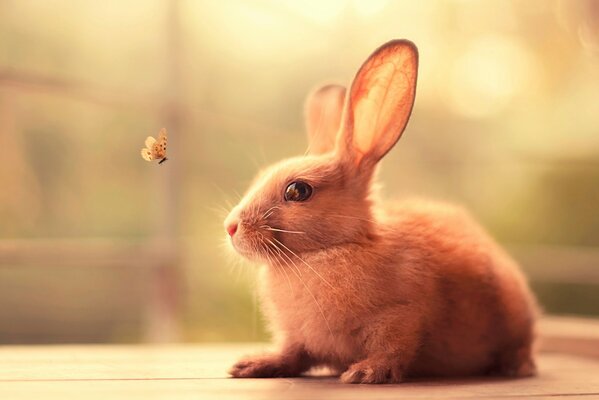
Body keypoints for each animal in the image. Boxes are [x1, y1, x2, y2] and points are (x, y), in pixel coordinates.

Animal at [224, 39, 540, 384]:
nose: (231, 227)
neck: (328, 250)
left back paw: (516, 367)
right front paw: (252, 365)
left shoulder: (401, 317)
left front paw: (364, 372)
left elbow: (392, 349)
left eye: (298, 191)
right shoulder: (297, 338)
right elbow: (291, 354)